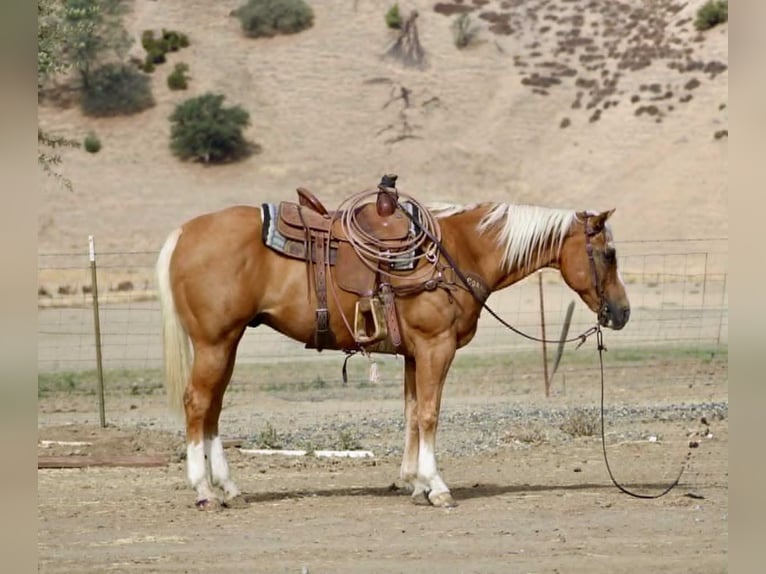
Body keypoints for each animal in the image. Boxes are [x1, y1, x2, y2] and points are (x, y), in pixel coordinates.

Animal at [155, 184, 630, 510]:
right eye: (609, 254)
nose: (622, 312)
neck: (458, 252)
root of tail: (183, 232)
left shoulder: (414, 354)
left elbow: (412, 415)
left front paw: (415, 482)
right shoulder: (437, 348)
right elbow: (430, 414)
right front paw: (436, 487)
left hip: (227, 343)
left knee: (213, 408)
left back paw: (228, 488)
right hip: (215, 343)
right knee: (198, 404)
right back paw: (204, 491)